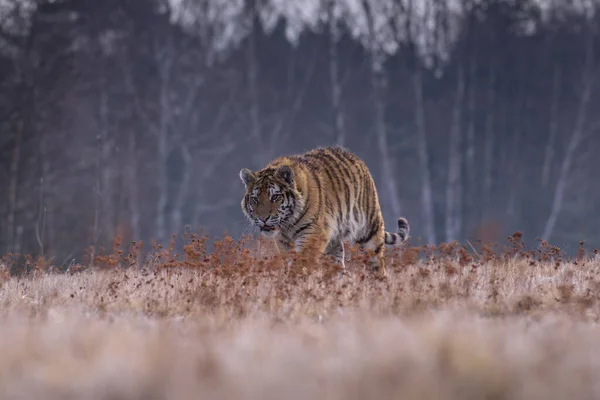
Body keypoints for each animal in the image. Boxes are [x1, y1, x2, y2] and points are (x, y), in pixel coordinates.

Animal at [238, 146, 408, 276]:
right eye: (255, 199)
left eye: (275, 197)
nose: (263, 218)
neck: (287, 224)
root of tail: (356, 158)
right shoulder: (282, 241)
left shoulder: (313, 233)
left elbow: (300, 261)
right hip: (334, 244)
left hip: (369, 232)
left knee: (377, 263)